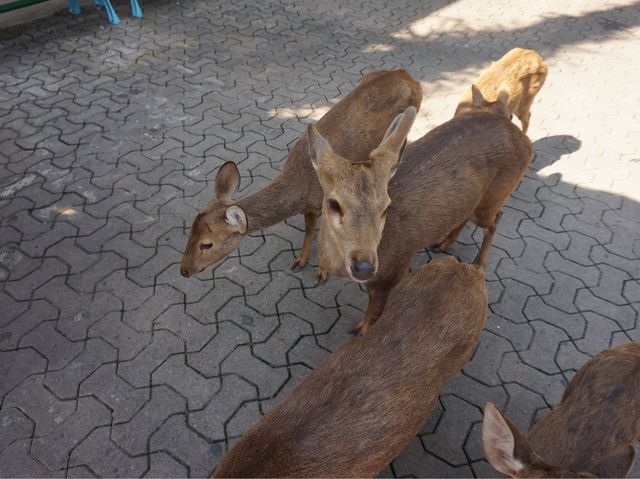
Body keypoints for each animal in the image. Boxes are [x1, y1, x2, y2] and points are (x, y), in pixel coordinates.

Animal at [178, 68, 422, 278]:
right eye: (189, 234)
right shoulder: (310, 206)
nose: (184, 270)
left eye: (206, 244)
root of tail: (409, 77)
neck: (300, 188)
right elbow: (309, 229)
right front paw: (300, 261)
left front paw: (320, 271)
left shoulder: (324, 200)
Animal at [308, 94, 528, 336]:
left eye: (386, 207)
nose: (364, 267)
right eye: (334, 204)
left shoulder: (390, 276)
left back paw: (479, 263)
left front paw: (360, 330)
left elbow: (372, 319)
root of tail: (524, 140)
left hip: (492, 200)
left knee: (496, 219)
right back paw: (443, 244)